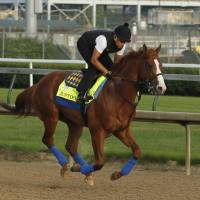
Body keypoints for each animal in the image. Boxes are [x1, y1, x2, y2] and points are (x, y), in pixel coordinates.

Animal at [0, 44, 166, 184]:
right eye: (149, 64)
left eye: (161, 64)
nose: (161, 88)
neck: (118, 94)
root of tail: (39, 83)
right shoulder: (97, 130)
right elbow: (99, 162)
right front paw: (79, 169)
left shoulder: (121, 130)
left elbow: (137, 151)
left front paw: (116, 174)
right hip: (51, 117)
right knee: (48, 139)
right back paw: (67, 167)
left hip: (75, 123)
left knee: (71, 146)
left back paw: (81, 171)